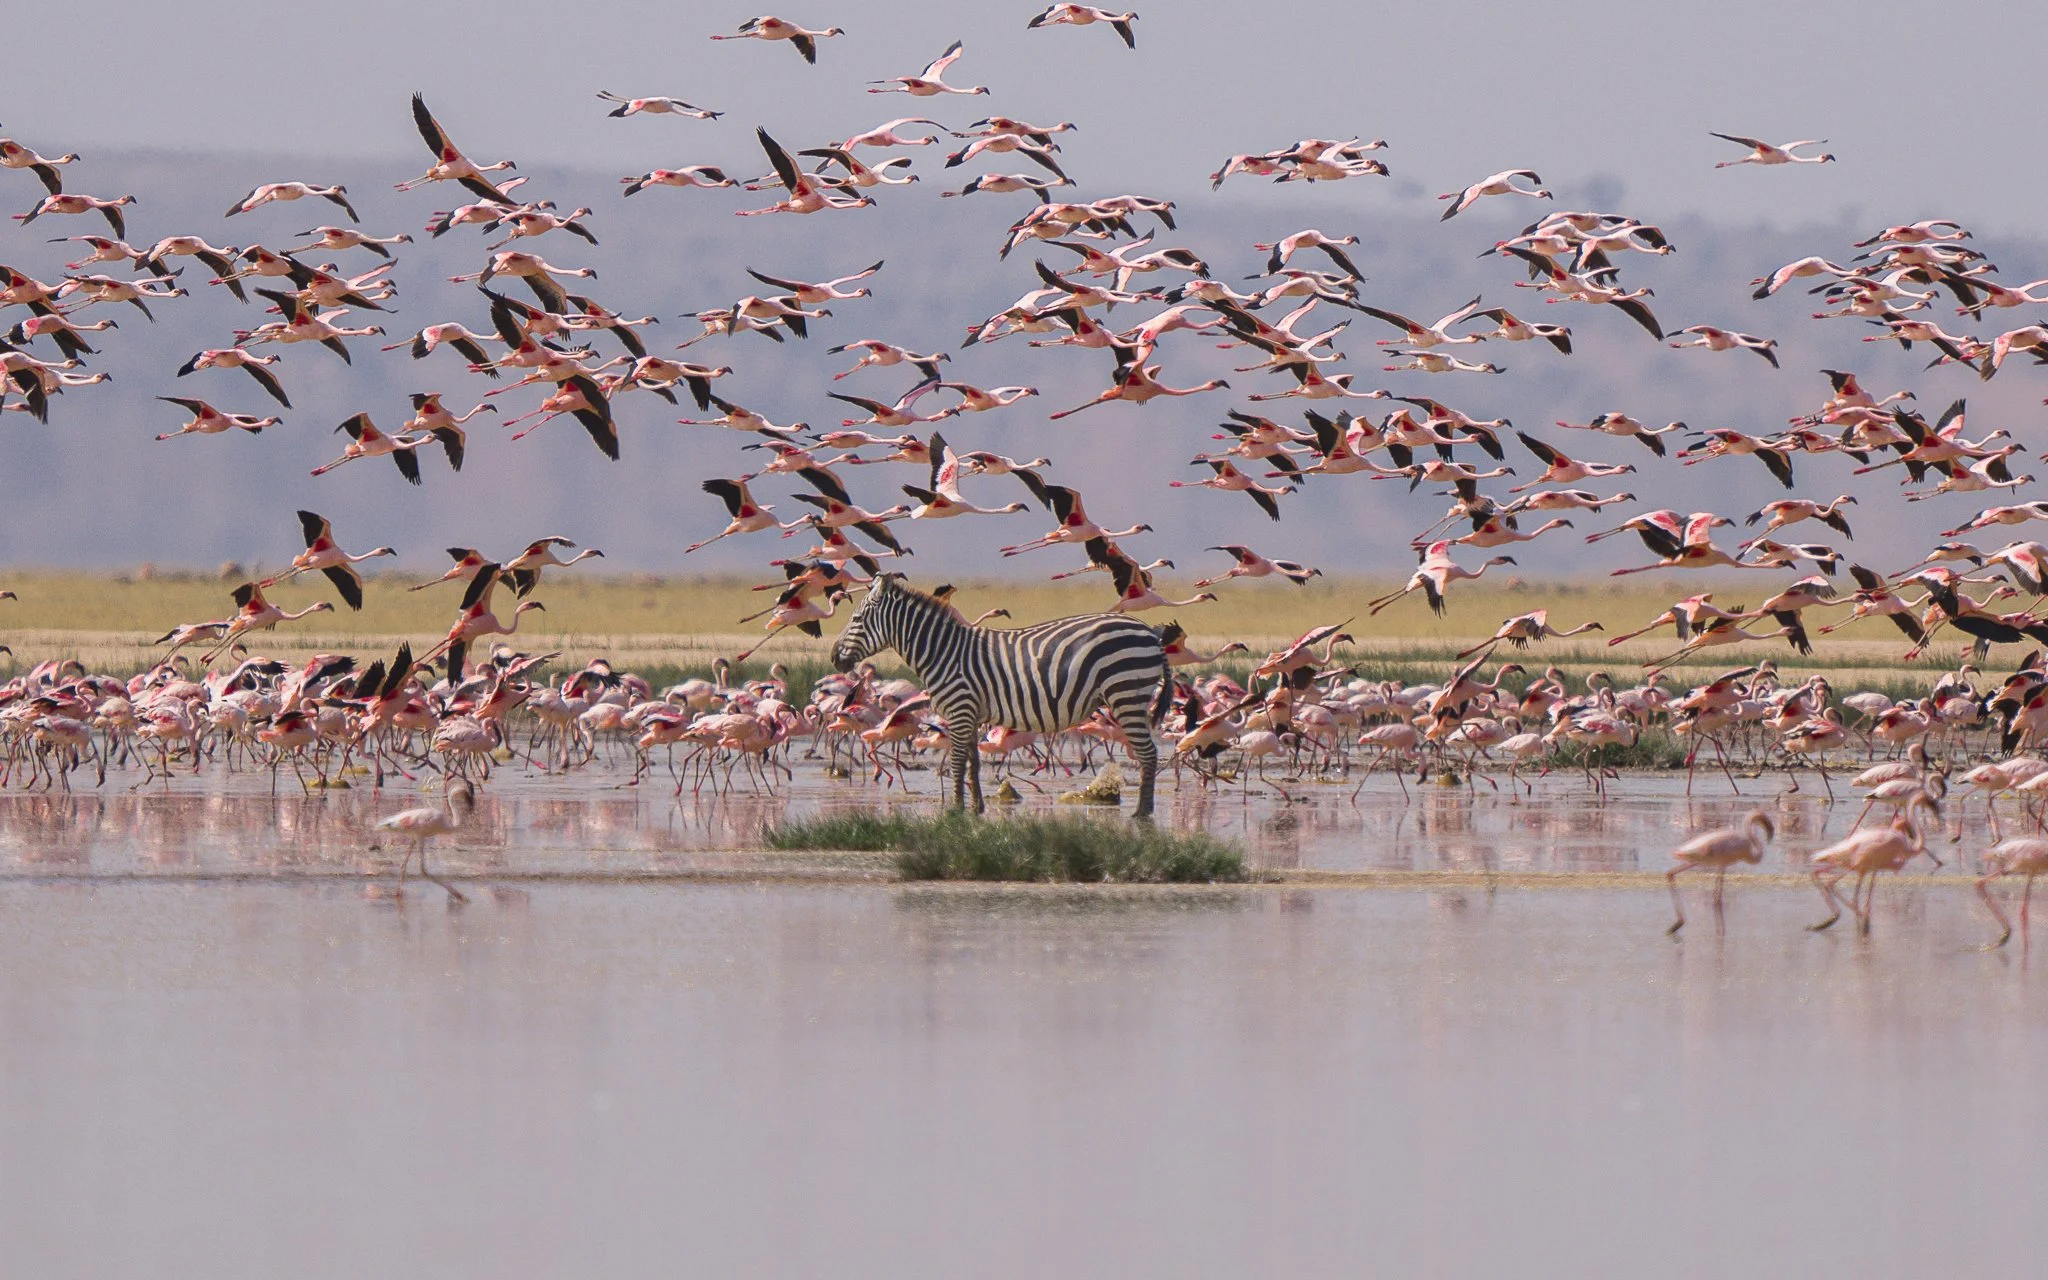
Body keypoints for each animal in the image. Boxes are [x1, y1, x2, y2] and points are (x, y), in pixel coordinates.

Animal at [830, 574, 1172, 817]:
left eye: (856, 620)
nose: (834, 658)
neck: (942, 651)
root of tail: (1149, 633)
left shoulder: (960, 709)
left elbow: (957, 763)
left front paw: (955, 810)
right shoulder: (970, 714)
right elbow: (973, 763)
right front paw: (976, 807)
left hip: (1126, 694)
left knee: (1148, 754)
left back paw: (1142, 814)